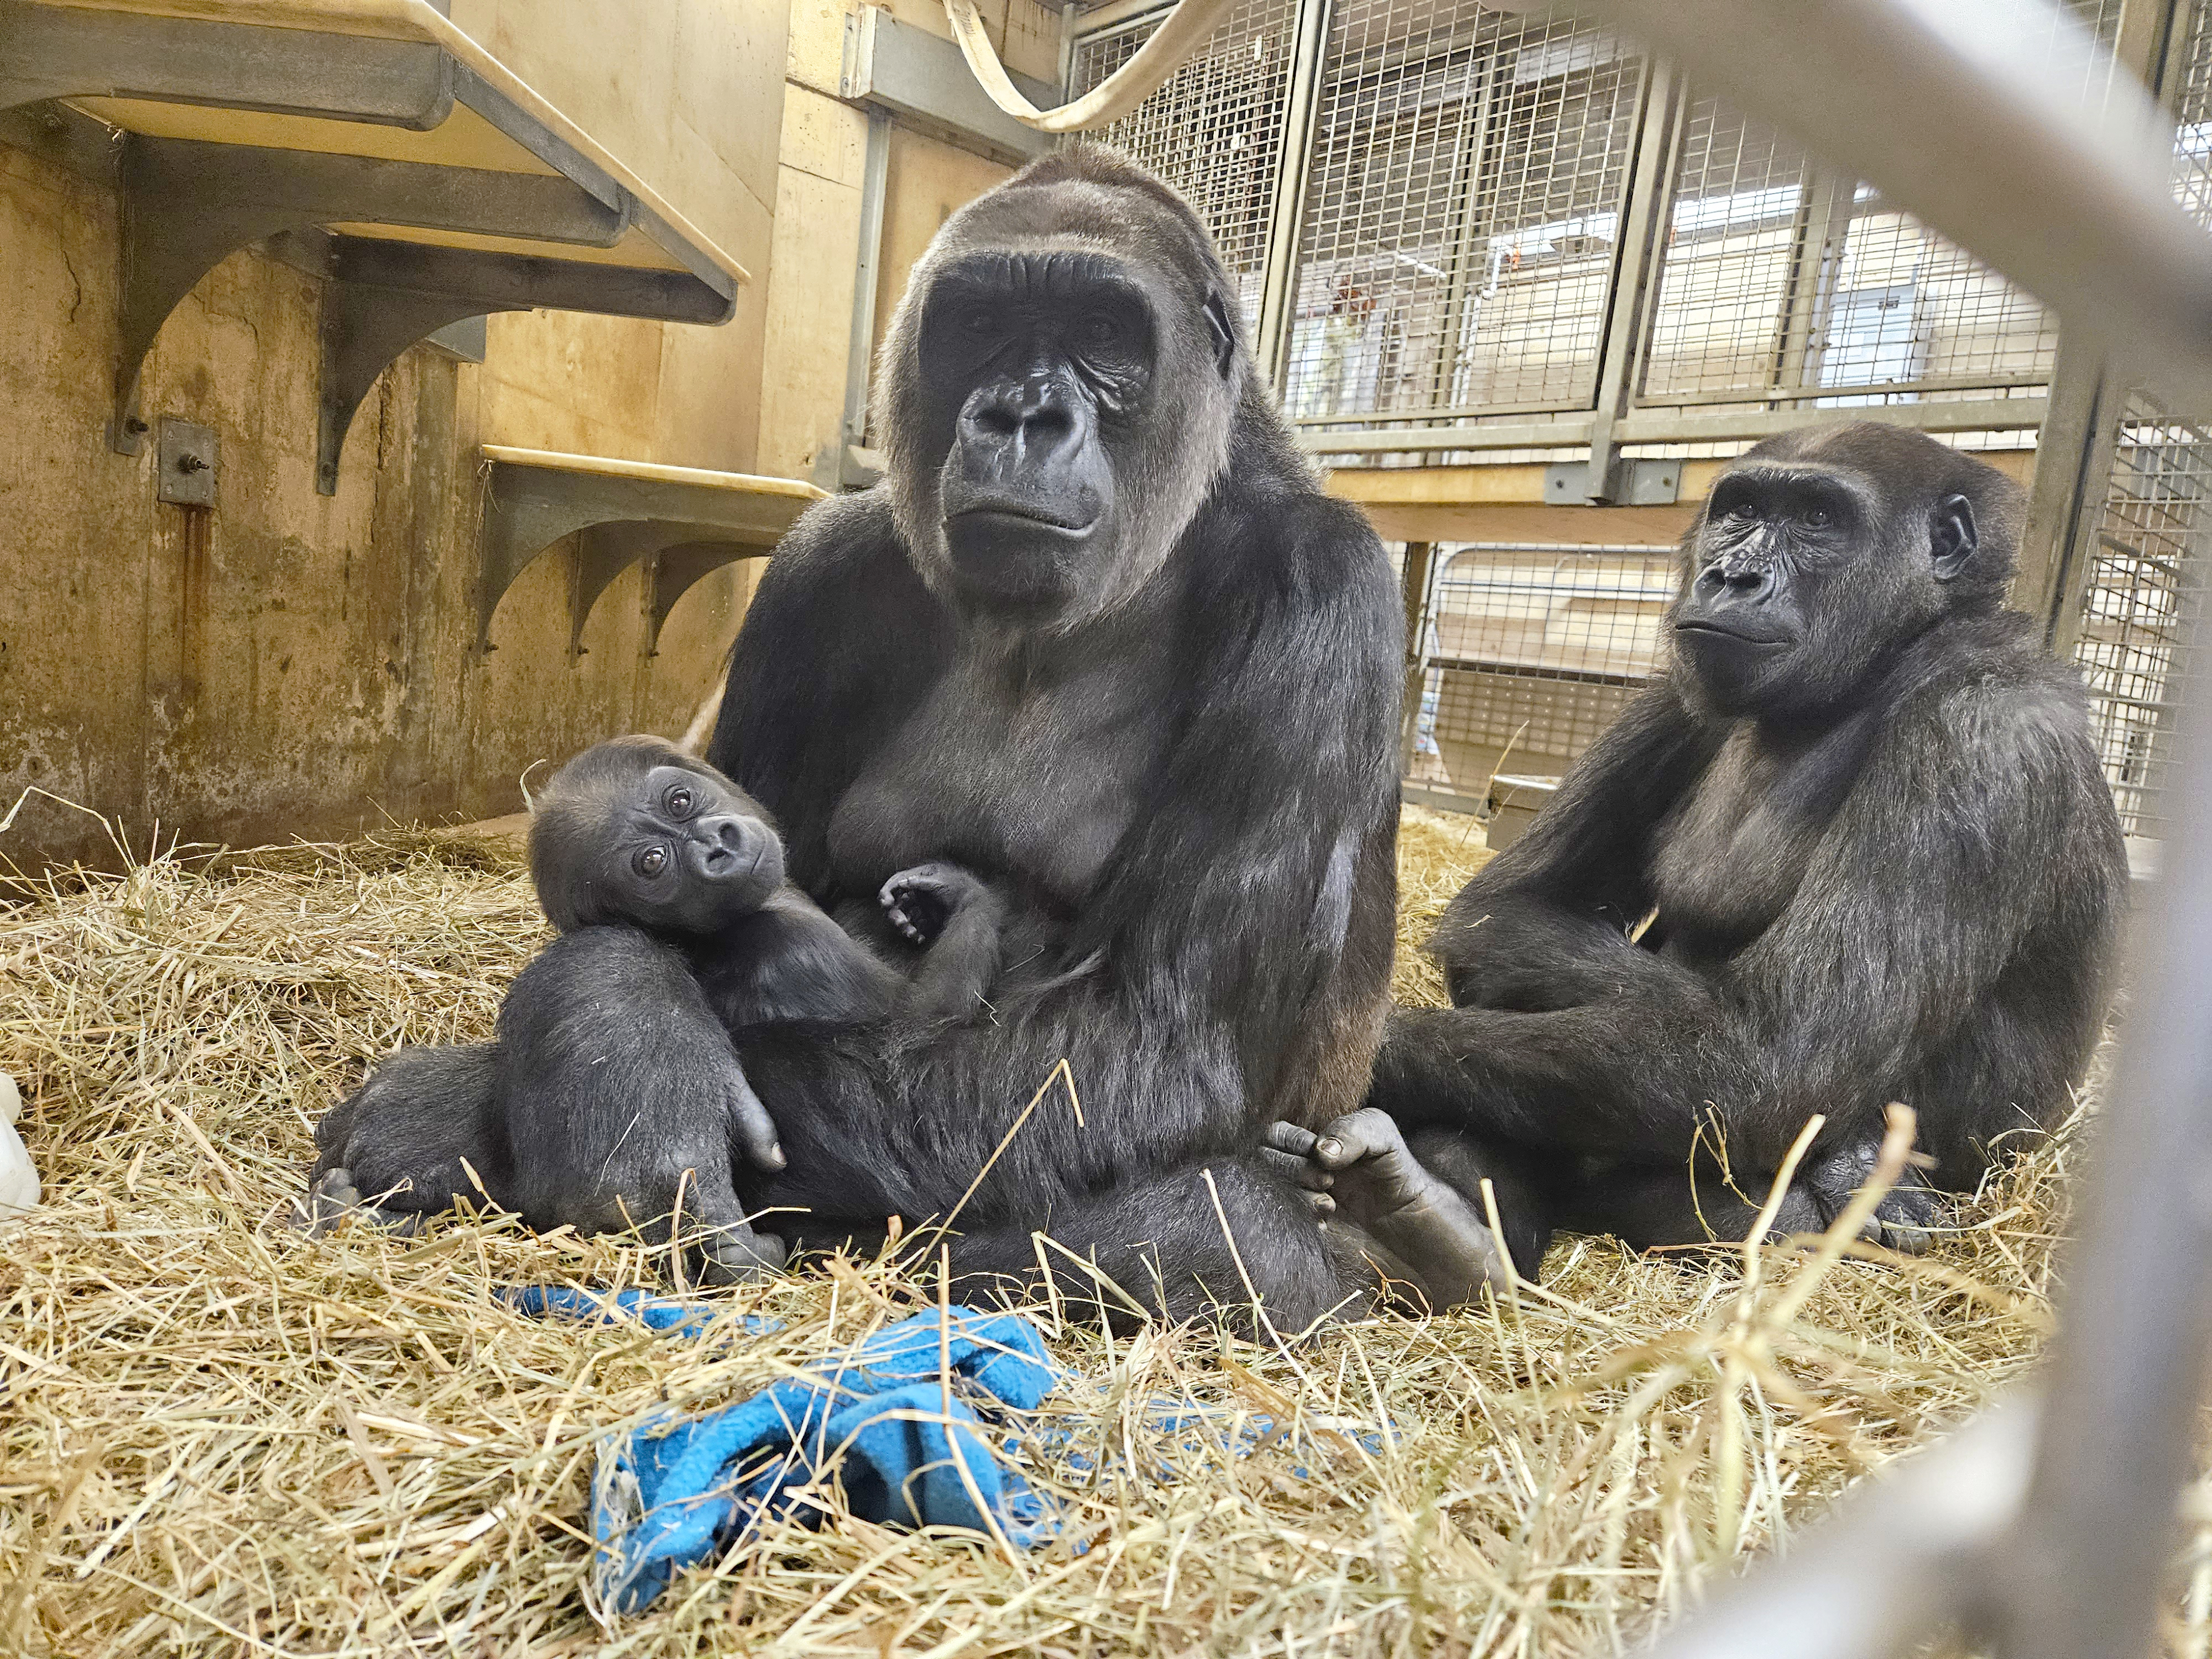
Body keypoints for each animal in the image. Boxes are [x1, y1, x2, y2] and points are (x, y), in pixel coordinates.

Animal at [310, 739, 1004, 1283]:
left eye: (679, 802)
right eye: (652, 863)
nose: (717, 847)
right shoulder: (802, 947)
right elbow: (923, 1027)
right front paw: (963, 898)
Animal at [1327, 422, 2124, 1283]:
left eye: (1817, 518)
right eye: (1740, 511)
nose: (1732, 575)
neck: (1882, 663)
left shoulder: (1982, 735)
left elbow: (1775, 1059)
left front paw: (1368, 1047)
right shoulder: (1673, 695)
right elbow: (1508, 915)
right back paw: (1434, 1230)